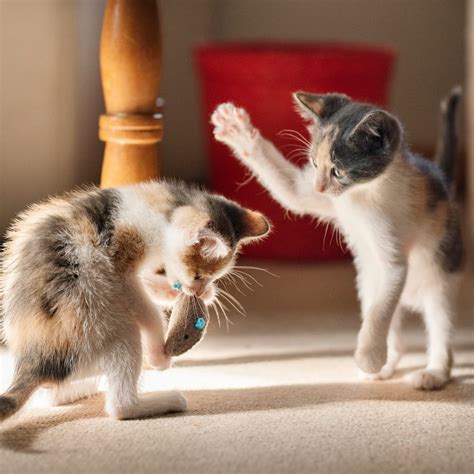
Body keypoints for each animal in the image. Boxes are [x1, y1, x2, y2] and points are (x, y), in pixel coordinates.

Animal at [0, 181, 270, 418]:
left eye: (213, 277)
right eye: (198, 275)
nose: (198, 290)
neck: (161, 208)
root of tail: (35, 363)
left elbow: (150, 283)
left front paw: (178, 292)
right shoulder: (120, 267)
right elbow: (144, 307)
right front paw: (158, 354)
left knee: (55, 394)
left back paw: (82, 391)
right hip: (105, 331)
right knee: (120, 406)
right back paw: (165, 400)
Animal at [212, 88, 462, 388]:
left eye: (338, 171)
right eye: (314, 163)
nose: (319, 188)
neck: (362, 194)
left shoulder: (394, 259)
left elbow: (379, 310)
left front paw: (368, 356)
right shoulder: (324, 199)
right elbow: (291, 192)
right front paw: (237, 130)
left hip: (439, 278)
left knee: (439, 325)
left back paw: (432, 373)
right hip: (368, 283)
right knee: (390, 322)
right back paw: (384, 367)